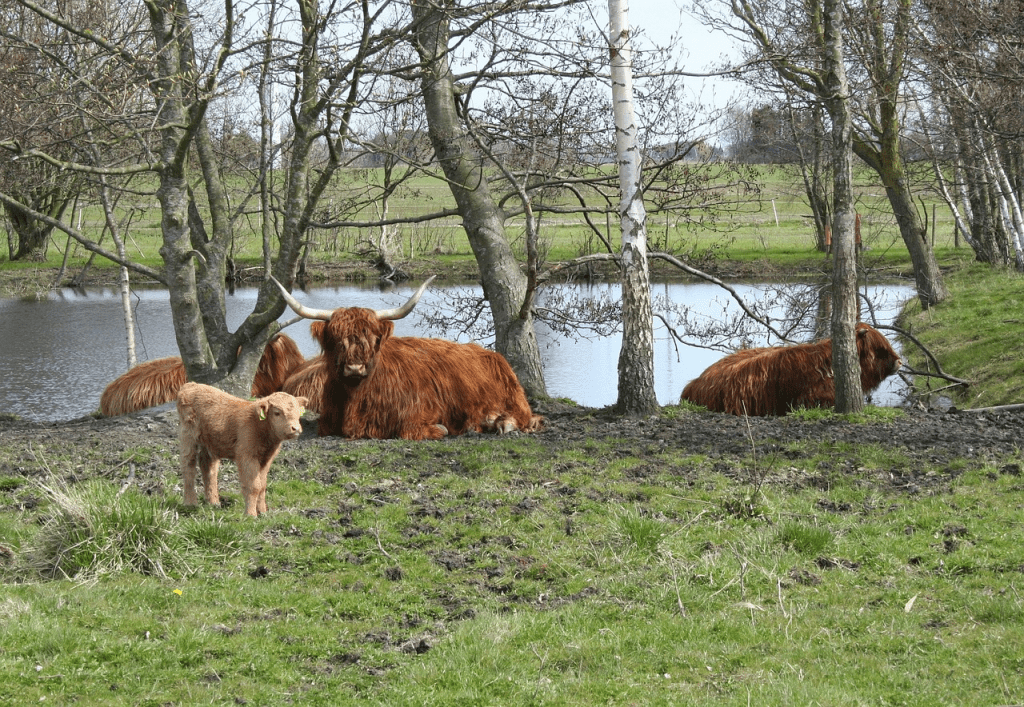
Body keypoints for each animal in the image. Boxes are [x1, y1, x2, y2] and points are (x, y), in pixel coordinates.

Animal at [176, 382, 308, 516]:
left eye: (298, 412)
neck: (259, 424)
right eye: (277, 412)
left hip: (209, 444)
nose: (295, 428)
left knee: (209, 469)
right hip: (188, 438)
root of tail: (191, 385)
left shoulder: (266, 459)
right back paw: (190, 503)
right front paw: (250, 515)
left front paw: (263, 512)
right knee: (188, 467)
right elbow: (253, 486)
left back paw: (213, 502)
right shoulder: (247, 456)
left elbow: (262, 486)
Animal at [271, 276, 544, 439]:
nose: (355, 368)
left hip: (513, 399)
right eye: (337, 340)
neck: (355, 398)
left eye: (373, 340)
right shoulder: (328, 422)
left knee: (526, 417)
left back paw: (499, 422)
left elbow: (428, 429)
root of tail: (491, 354)